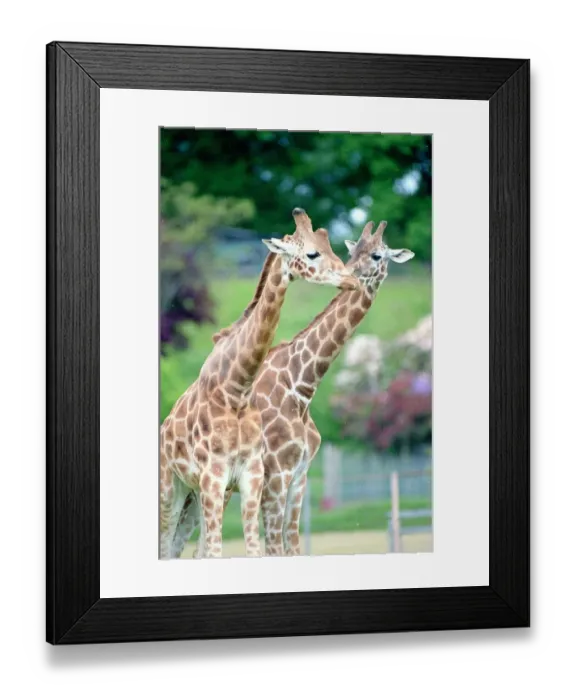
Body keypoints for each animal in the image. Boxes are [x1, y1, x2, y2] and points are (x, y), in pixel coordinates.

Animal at [160, 208, 359, 560]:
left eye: (334, 248)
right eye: (312, 253)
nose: (350, 279)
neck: (236, 390)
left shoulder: (252, 477)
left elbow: (255, 549)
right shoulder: (222, 477)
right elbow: (221, 551)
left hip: (194, 494)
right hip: (171, 487)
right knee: (167, 545)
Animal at [213, 219, 414, 557]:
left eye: (376, 255)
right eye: (353, 252)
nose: (349, 275)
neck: (302, 383)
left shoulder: (299, 476)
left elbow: (293, 544)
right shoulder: (276, 475)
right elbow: (274, 548)